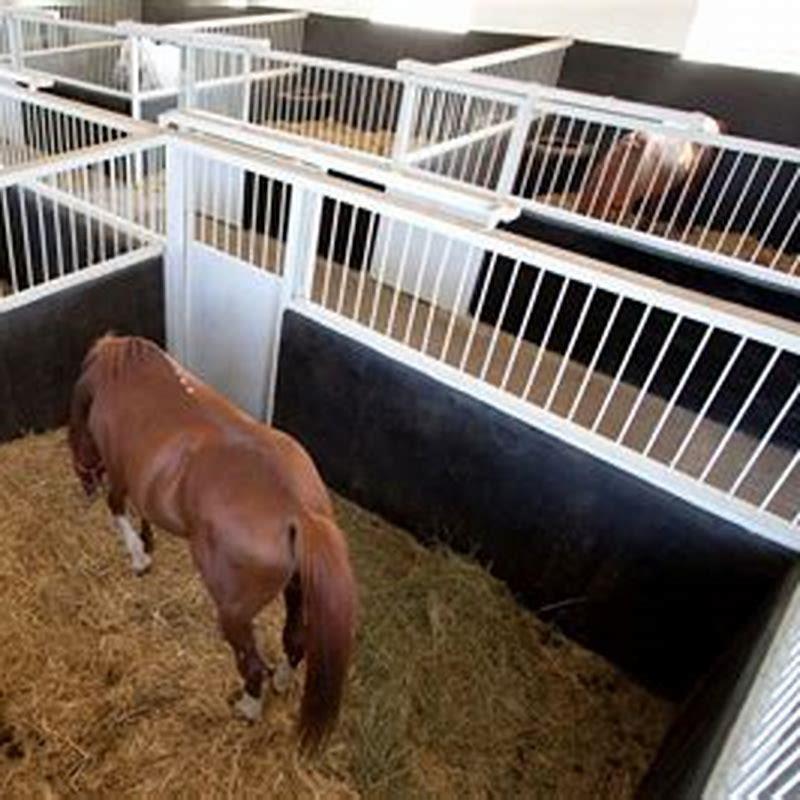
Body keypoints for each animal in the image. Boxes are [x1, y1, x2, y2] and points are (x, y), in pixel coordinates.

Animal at [69, 332, 356, 752]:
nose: (85, 485)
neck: (121, 376)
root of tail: (298, 511)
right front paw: (147, 543)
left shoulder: (120, 473)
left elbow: (118, 509)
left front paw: (139, 557)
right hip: (296, 591)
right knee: (295, 641)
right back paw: (282, 682)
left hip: (234, 613)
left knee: (252, 666)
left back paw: (248, 709)